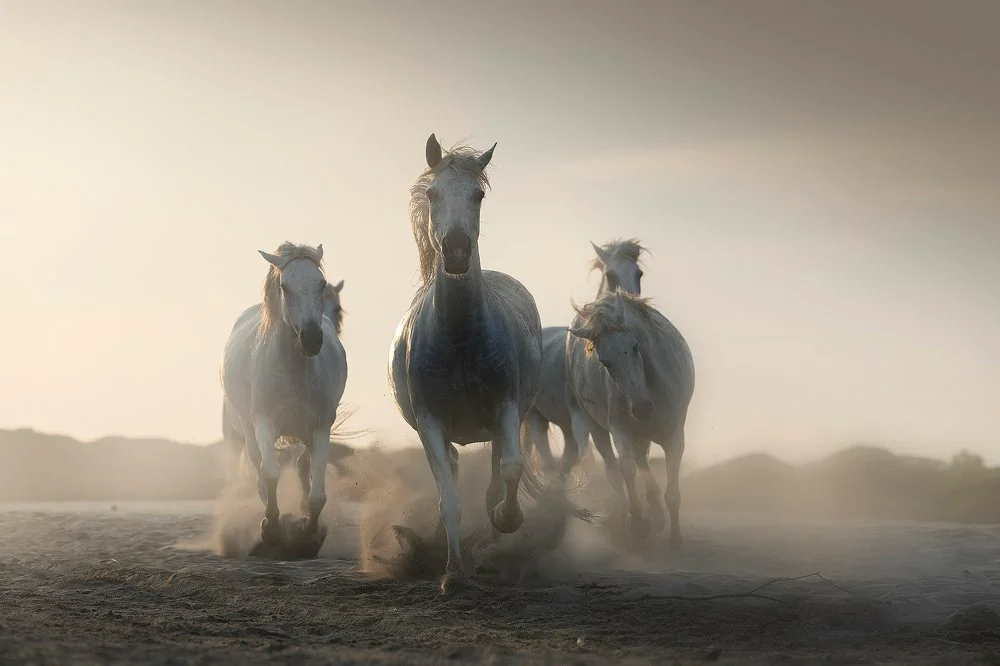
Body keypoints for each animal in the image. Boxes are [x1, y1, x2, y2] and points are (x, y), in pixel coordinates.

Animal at [219, 241, 348, 552]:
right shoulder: (264, 423)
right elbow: (270, 471)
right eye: (285, 286)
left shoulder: (319, 428)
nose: (312, 338)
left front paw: (308, 535)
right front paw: (272, 528)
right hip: (245, 427)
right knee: (256, 463)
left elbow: (316, 493)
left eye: (320, 283)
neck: (294, 372)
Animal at [388, 132, 584, 588]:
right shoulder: (430, 422)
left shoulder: (506, 409)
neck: (460, 339)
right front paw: (452, 573)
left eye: (477, 194)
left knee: (497, 470)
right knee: (453, 471)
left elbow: (510, 469)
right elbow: (449, 499)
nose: (457, 250)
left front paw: (505, 521)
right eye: (433, 192)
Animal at [520, 237, 644, 488]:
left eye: (639, 274)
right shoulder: (583, 420)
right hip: (537, 418)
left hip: (563, 426)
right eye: (611, 275)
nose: (631, 305)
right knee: (548, 458)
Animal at [568, 290, 692, 544]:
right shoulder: (620, 430)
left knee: (642, 460)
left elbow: (672, 489)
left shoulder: (675, 436)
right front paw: (638, 521)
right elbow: (627, 468)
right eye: (604, 361)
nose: (642, 408)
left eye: (635, 347)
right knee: (614, 468)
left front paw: (675, 535)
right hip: (597, 426)